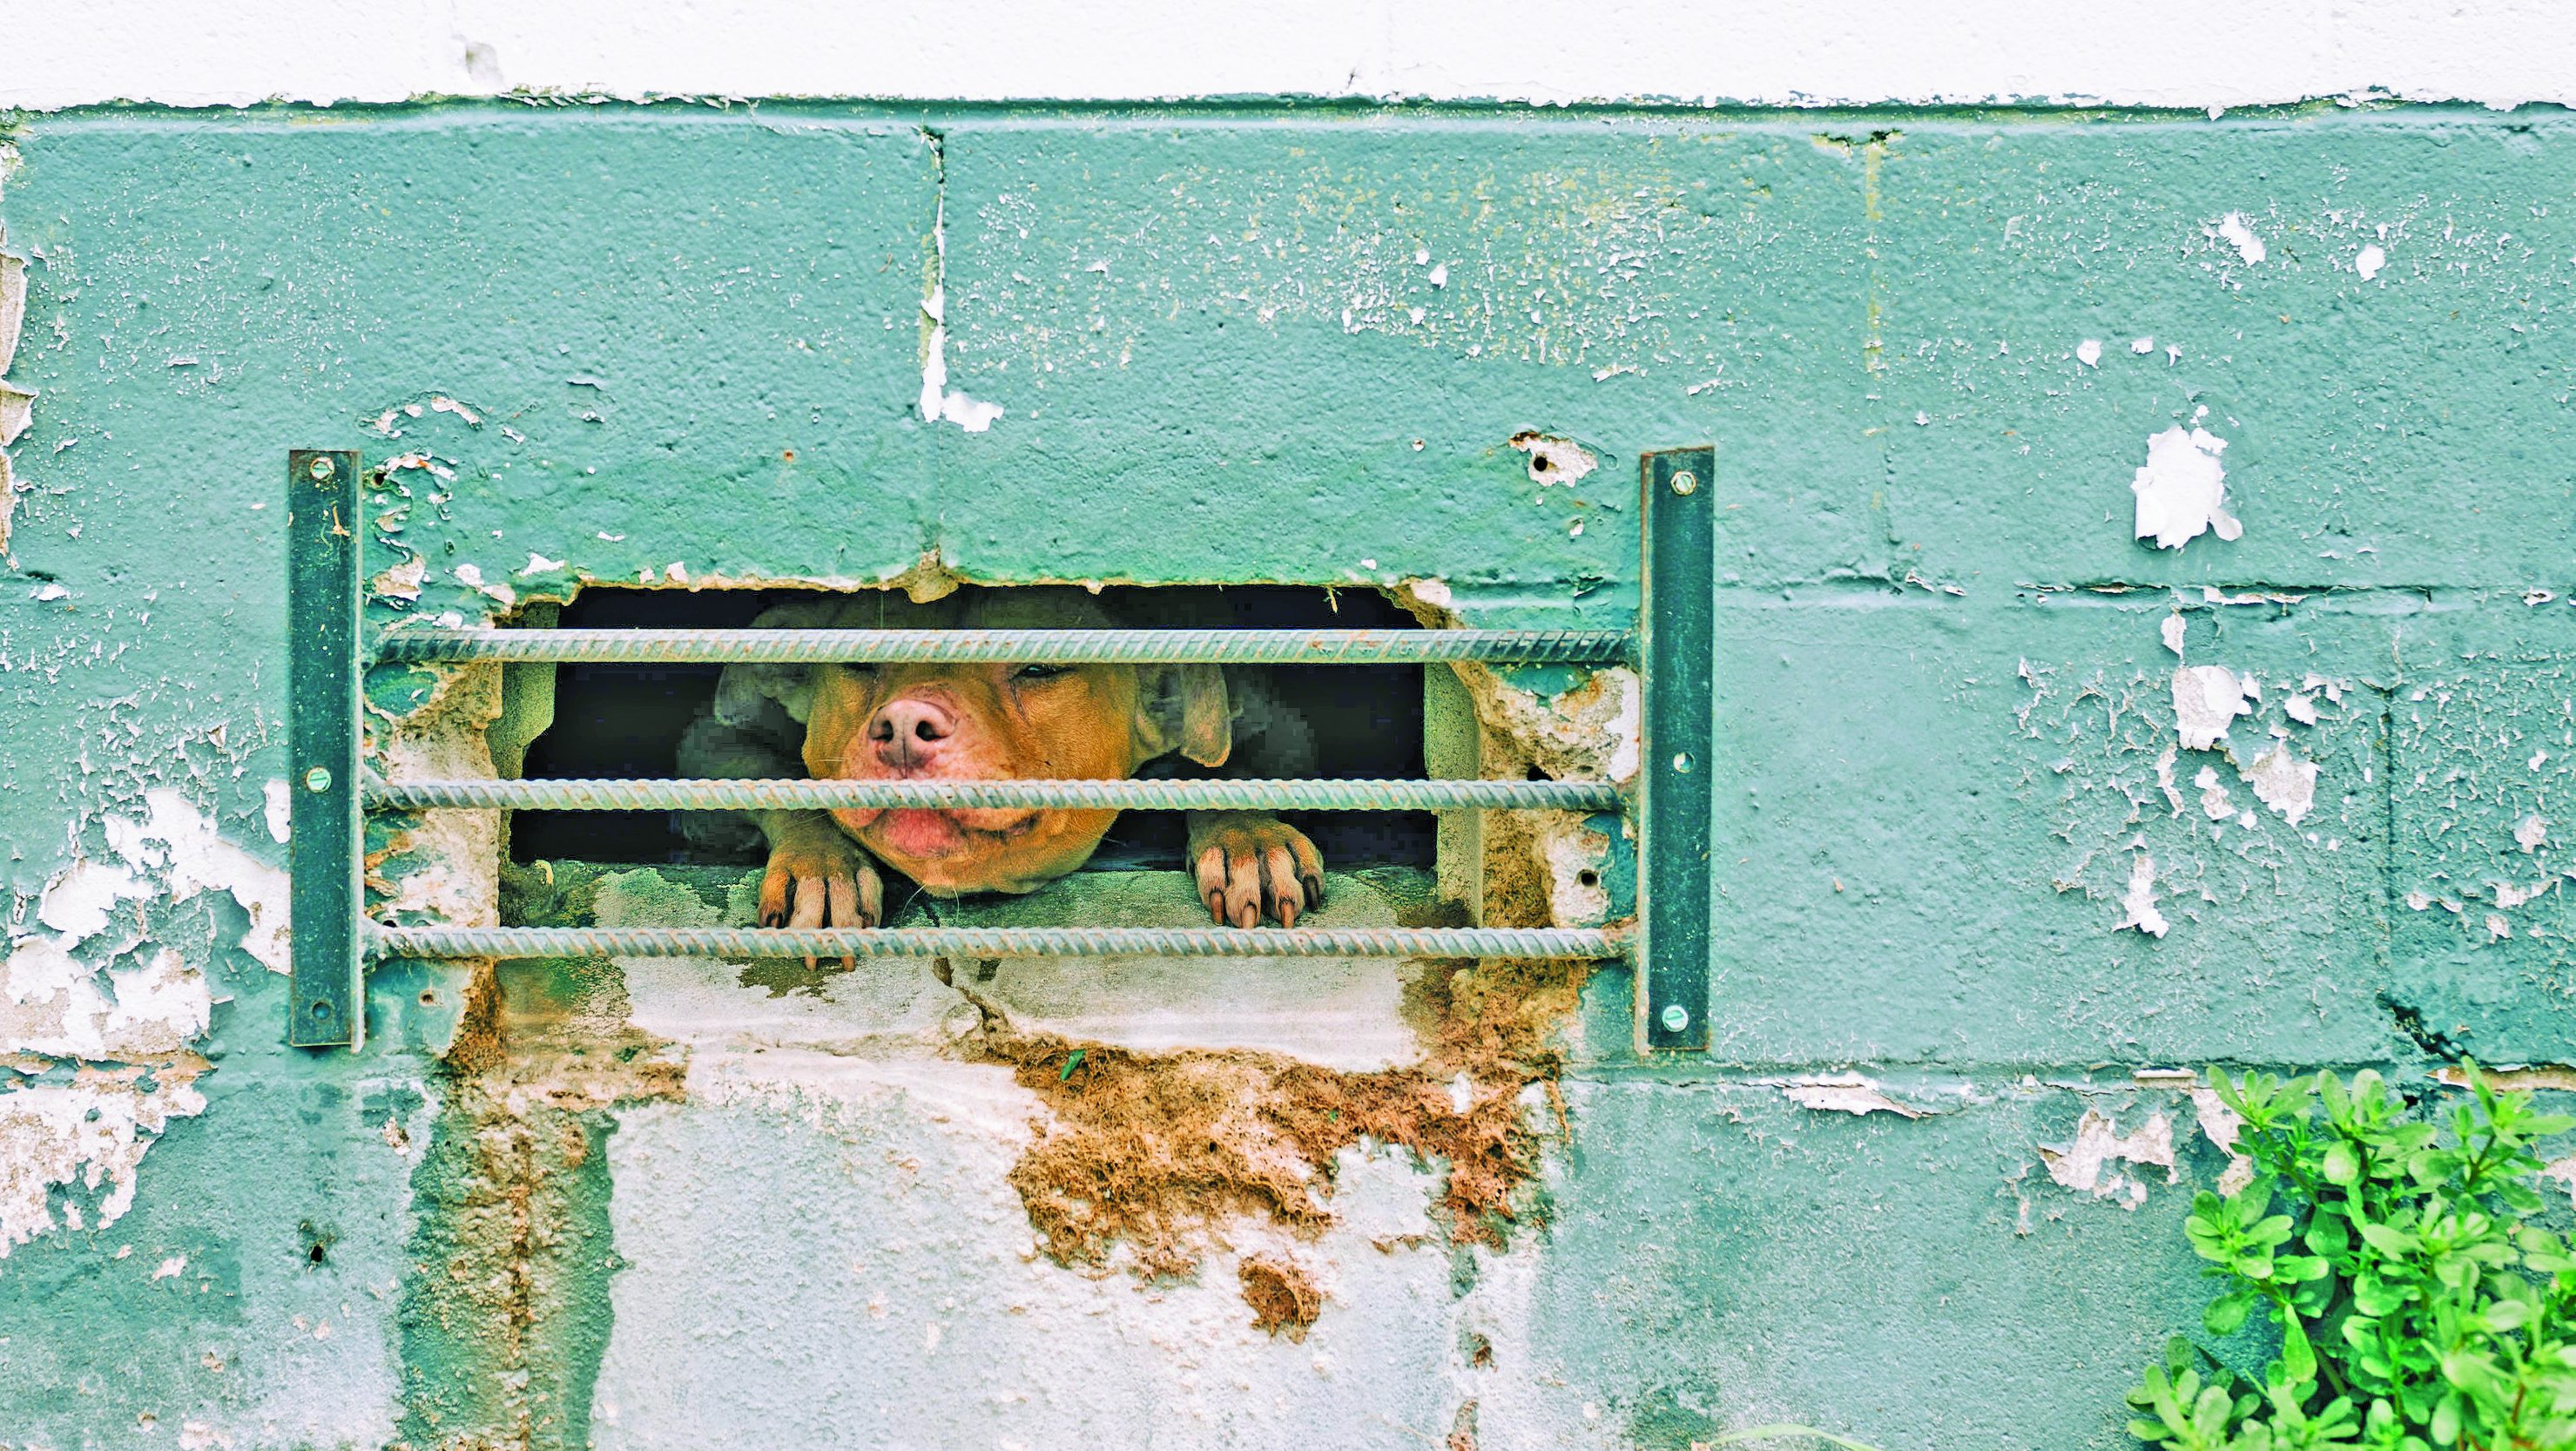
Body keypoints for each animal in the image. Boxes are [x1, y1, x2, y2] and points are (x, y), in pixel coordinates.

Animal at [677, 587, 1326, 951]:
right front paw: (822, 867)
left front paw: (1250, 840)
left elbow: (1231, 767)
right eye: (856, 662)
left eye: (1040, 668)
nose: (906, 725)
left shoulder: (1282, 725)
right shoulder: (708, 742)